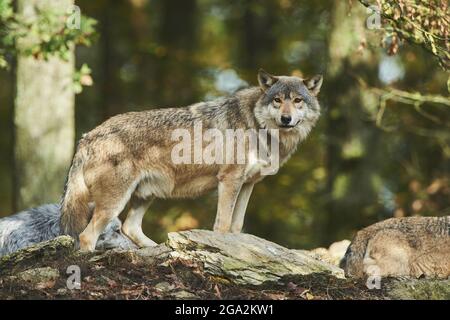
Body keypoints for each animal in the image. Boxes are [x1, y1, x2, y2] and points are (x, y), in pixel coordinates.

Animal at [61, 69, 326, 250]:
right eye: (278, 100)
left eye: (297, 100)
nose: (286, 119)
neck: (257, 125)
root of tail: (87, 136)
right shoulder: (229, 180)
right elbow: (222, 225)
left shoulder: (247, 184)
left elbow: (236, 226)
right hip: (115, 203)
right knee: (86, 236)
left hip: (146, 195)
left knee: (130, 227)